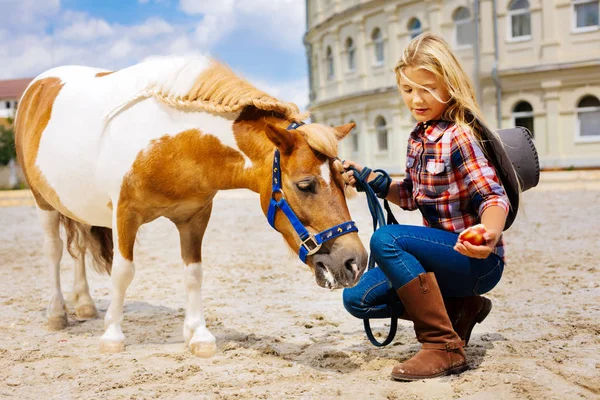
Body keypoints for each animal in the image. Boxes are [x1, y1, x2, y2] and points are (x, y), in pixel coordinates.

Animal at [14, 55, 368, 356]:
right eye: (305, 185)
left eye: (344, 181)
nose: (355, 262)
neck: (173, 145)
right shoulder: (124, 214)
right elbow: (123, 272)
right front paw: (112, 335)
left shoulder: (195, 217)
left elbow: (193, 273)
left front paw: (198, 336)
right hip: (43, 202)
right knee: (54, 251)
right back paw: (57, 313)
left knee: (78, 250)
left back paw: (85, 304)